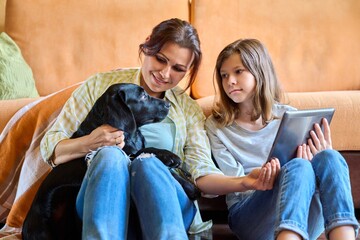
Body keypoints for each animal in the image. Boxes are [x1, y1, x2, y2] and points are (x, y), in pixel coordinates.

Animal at [23, 83, 200, 239]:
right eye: (142, 96)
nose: (168, 104)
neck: (131, 135)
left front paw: (190, 187)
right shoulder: (124, 153)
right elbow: (144, 151)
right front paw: (169, 156)